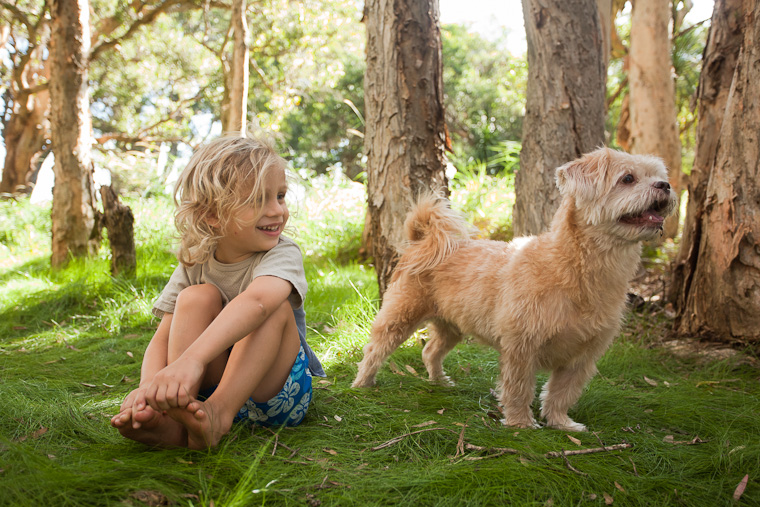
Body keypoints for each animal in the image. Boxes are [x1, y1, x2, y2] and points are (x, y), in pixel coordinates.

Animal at [350, 147, 676, 432]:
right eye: (628, 178)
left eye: (658, 175)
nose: (666, 185)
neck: (573, 269)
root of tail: (422, 241)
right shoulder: (522, 348)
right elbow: (519, 389)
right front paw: (521, 424)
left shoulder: (581, 358)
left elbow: (561, 394)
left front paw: (561, 423)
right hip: (399, 316)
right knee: (374, 350)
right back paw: (362, 384)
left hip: (451, 326)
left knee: (430, 351)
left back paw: (440, 382)